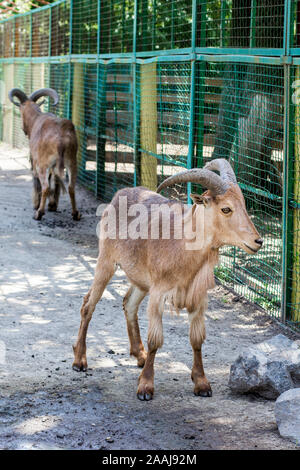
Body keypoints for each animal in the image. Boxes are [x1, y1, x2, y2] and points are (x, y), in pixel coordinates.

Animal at [8, 89, 80, 221]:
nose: (23, 129)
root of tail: (61, 137)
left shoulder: (35, 161)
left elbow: (37, 182)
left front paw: (36, 205)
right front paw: (52, 205)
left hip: (43, 165)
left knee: (45, 186)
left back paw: (39, 213)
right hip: (72, 161)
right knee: (71, 187)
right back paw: (75, 213)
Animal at [72, 158, 262, 400]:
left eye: (244, 204)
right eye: (226, 209)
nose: (258, 241)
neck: (182, 245)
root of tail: (119, 194)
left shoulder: (198, 298)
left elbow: (197, 339)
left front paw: (201, 383)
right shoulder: (159, 293)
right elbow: (156, 340)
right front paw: (145, 387)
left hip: (141, 280)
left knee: (129, 304)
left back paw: (140, 355)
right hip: (106, 262)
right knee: (88, 305)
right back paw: (79, 360)